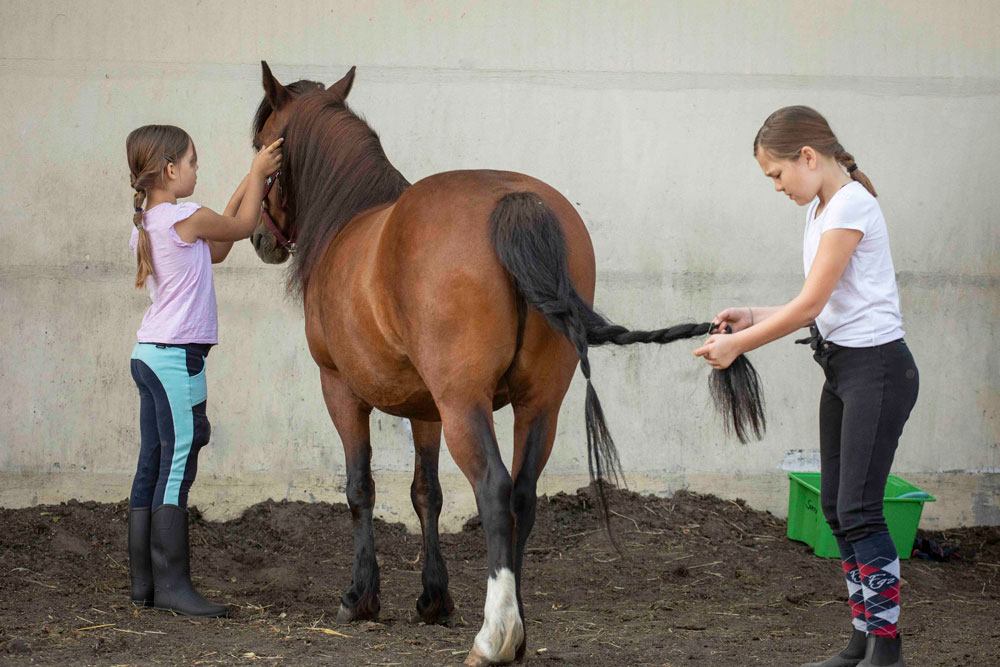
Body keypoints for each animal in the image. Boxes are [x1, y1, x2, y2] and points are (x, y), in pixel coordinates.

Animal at [250, 61, 764, 664]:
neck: (349, 224)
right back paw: (518, 634)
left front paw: (360, 598)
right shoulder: (425, 408)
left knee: (495, 491)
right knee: (522, 495)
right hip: (538, 404)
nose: (259, 238)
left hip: (464, 404)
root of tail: (513, 203)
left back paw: (494, 635)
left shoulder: (341, 389)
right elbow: (426, 494)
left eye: (261, 146)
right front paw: (434, 599)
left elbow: (361, 489)